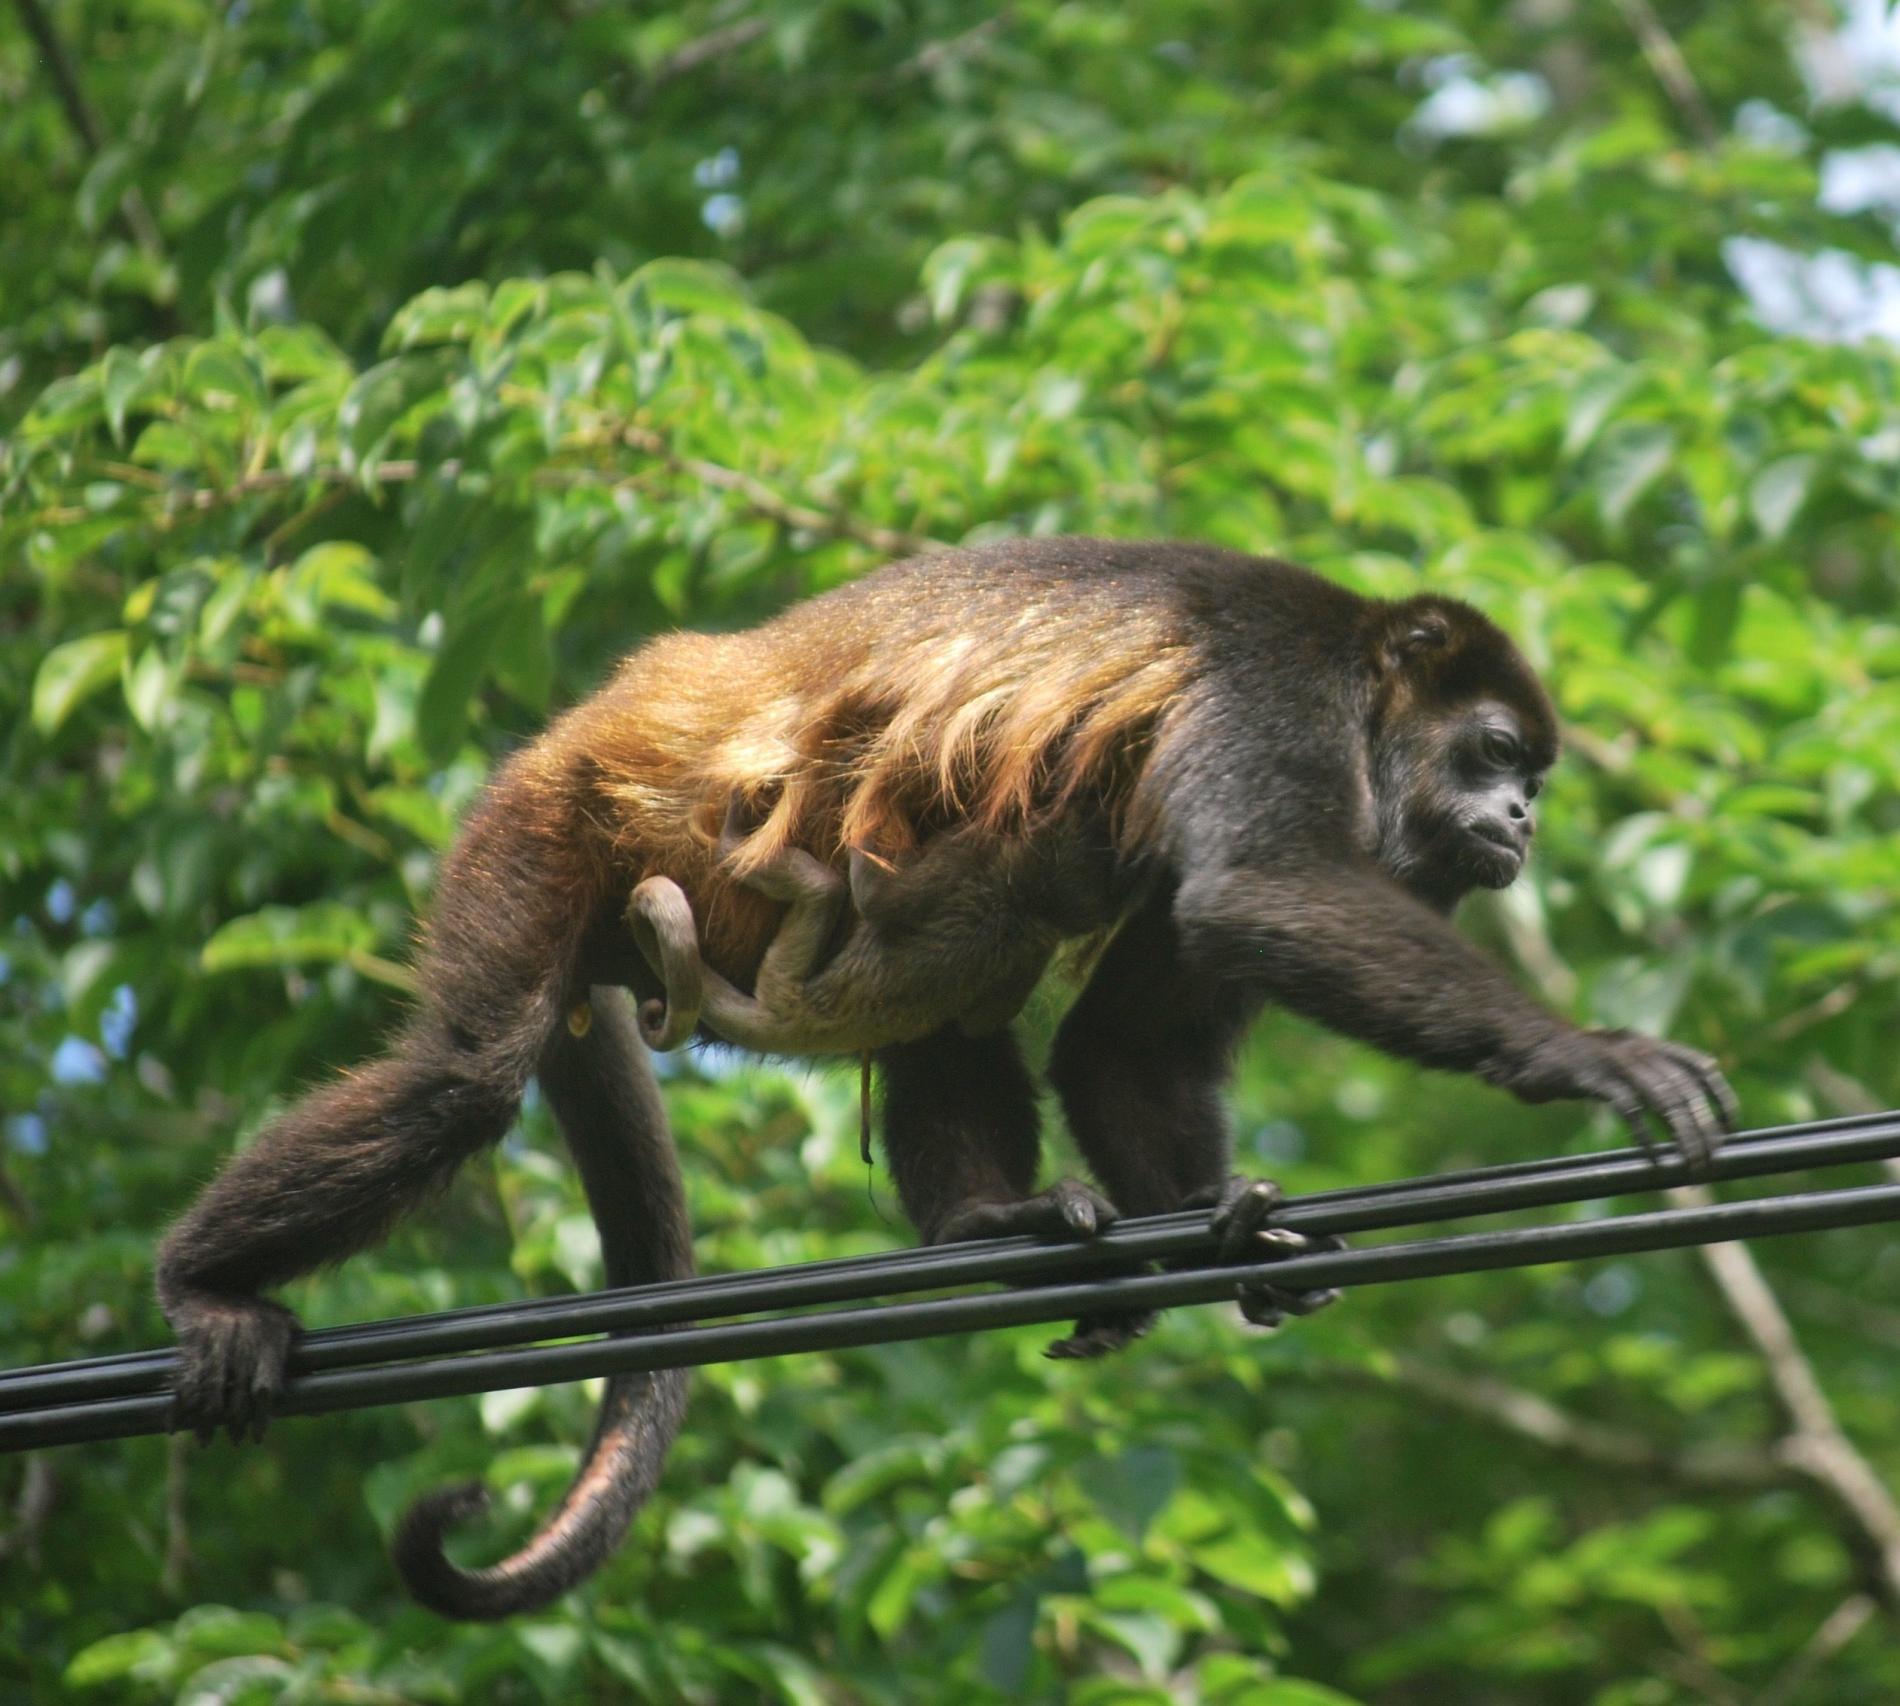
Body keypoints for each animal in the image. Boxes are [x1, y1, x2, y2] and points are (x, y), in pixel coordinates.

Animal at [154, 537, 1738, 1620]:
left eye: (1532, 772)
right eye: (1494, 750)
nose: (1520, 815)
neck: (1363, 695)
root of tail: (571, 731)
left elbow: (1129, 1038)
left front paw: (1232, 1232)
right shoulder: (1271, 690)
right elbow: (1263, 891)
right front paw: (1588, 1053)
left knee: (965, 984)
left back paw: (993, 1224)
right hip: (546, 827)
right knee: (462, 1077)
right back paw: (207, 1286)